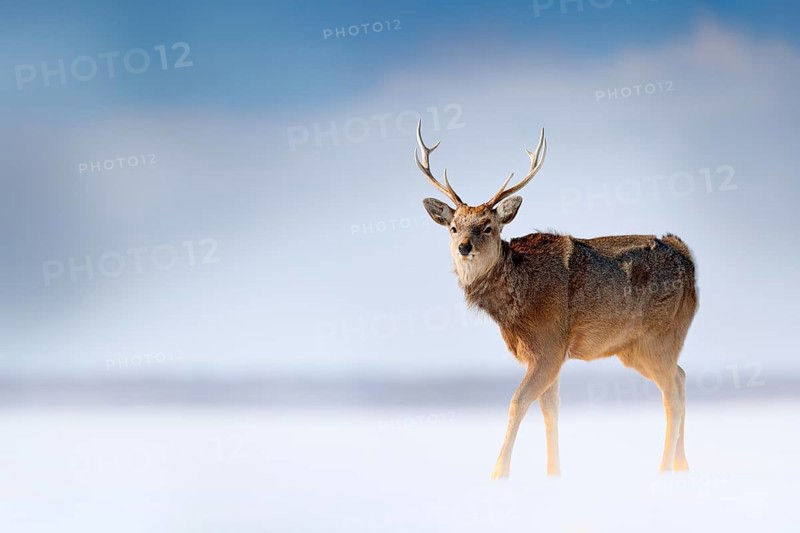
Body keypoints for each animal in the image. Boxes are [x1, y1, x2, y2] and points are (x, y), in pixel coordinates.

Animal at [414, 121, 698, 478]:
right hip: (636, 347)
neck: (514, 305)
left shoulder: (549, 344)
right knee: (681, 377)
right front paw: (553, 473)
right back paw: (682, 464)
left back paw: (663, 469)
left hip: (658, 335)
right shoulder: (548, 353)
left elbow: (518, 402)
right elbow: (550, 410)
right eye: (453, 227)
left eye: (488, 226)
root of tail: (688, 258)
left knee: (672, 395)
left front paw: (498, 473)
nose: (465, 246)